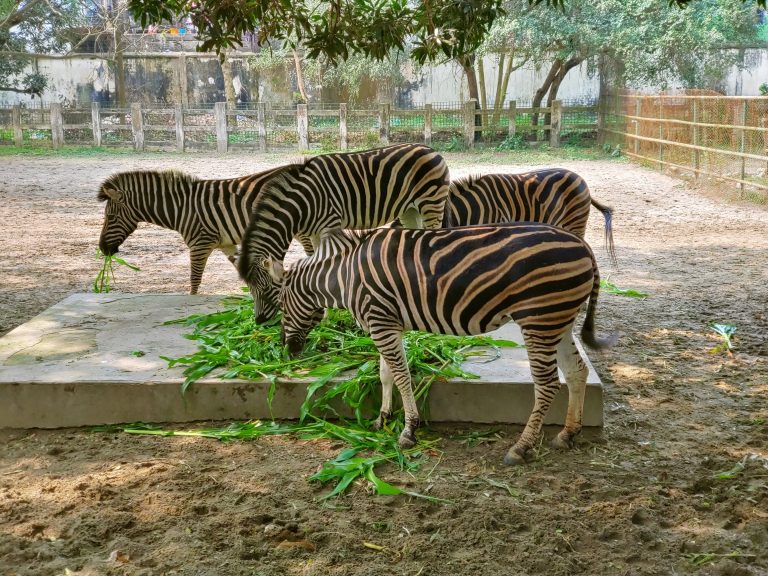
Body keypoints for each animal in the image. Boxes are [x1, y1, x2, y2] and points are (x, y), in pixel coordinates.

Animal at [97, 165, 310, 292]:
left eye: (110, 217)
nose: (103, 249)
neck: (181, 208)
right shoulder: (226, 244)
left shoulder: (200, 244)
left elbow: (194, 280)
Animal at [238, 143, 450, 324]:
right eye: (250, 290)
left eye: (266, 289)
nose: (259, 321)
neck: (303, 205)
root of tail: (432, 150)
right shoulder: (313, 232)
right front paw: (323, 316)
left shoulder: (330, 225)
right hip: (409, 210)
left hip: (431, 202)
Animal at [268, 223, 616, 466]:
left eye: (281, 305)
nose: (287, 350)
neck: (343, 275)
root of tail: (583, 246)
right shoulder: (386, 324)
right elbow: (385, 374)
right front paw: (382, 418)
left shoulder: (381, 321)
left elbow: (402, 377)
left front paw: (408, 430)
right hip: (558, 318)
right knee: (577, 372)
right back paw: (568, 434)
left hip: (539, 319)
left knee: (546, 384)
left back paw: (521, 447)